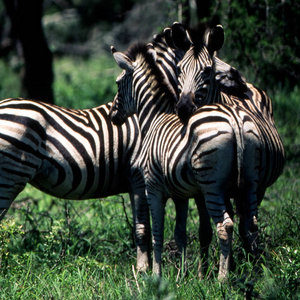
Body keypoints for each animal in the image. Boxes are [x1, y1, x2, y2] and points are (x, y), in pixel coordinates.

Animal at [109, 41, 250, 280]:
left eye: (118, 84)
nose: (112, 116)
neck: (154, 119)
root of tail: (232, 120)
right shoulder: (181, 195)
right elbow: (180, 233)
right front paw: (182, 276)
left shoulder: (153, 188)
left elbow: (157, 233)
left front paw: (156, 275)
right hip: (242, 183)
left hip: (211, 186)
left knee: (225, 225)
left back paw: (222, 279)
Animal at [168, 21, 284, 255]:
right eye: (179, 69)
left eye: (206, 71)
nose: (184, 108)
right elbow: (207, 228)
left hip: (258, 185)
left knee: (247, 221)